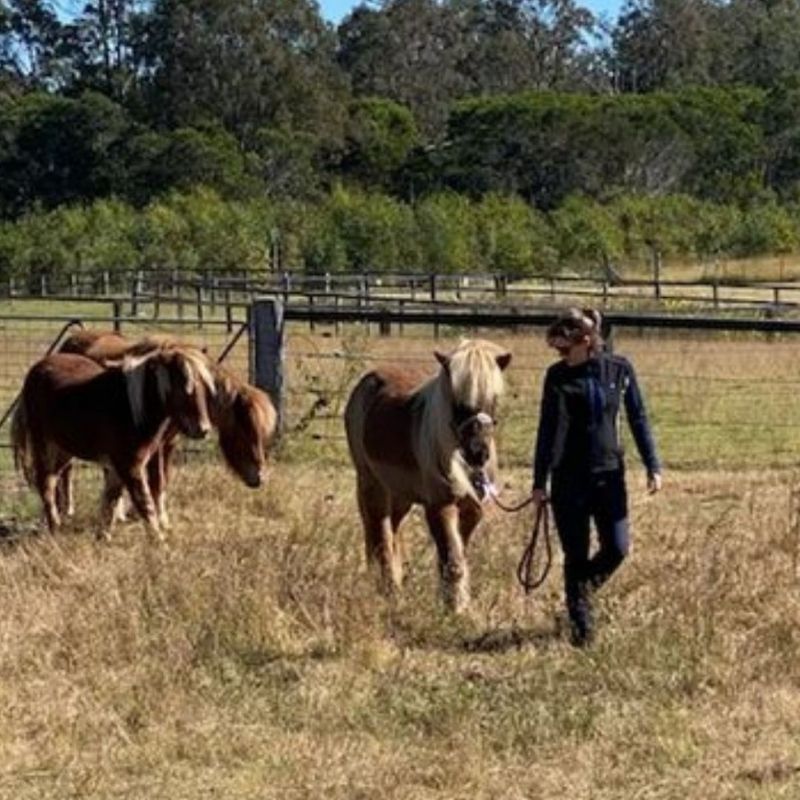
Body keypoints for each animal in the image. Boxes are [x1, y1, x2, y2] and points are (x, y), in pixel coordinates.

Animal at [11, 344, 215, 539]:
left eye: (204, 387)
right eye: (183, 387)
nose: (203, 429)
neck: (131, 408)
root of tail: (36, 370)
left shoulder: (119, 467)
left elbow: (111, 500)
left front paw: (103, 536)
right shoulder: (130, 466)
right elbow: (144, 502)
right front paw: (159, 541)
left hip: (64, 450)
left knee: (53, 480)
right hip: (45, 446)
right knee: (46, 484)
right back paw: (54, 528)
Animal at [57, 329, 277, 528]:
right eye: (245, 433)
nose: (259, 478)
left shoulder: (169, 443)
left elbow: (162, 481)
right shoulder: (156, 446)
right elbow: (156, 481)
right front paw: (160, 519)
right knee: (67, 469)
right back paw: (67, 510)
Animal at [344, 339, 512, 612]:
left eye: (493, 398)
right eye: (455, 401)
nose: (478, 453)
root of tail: (368, 380)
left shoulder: (471, 509)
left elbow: (457, 555)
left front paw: (457, 603)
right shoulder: (439, 505)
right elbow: (452, 559)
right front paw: (454, 610)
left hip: (400, 495)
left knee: (392, 532)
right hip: (372, 482)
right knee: (380, 534)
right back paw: (390, 592)